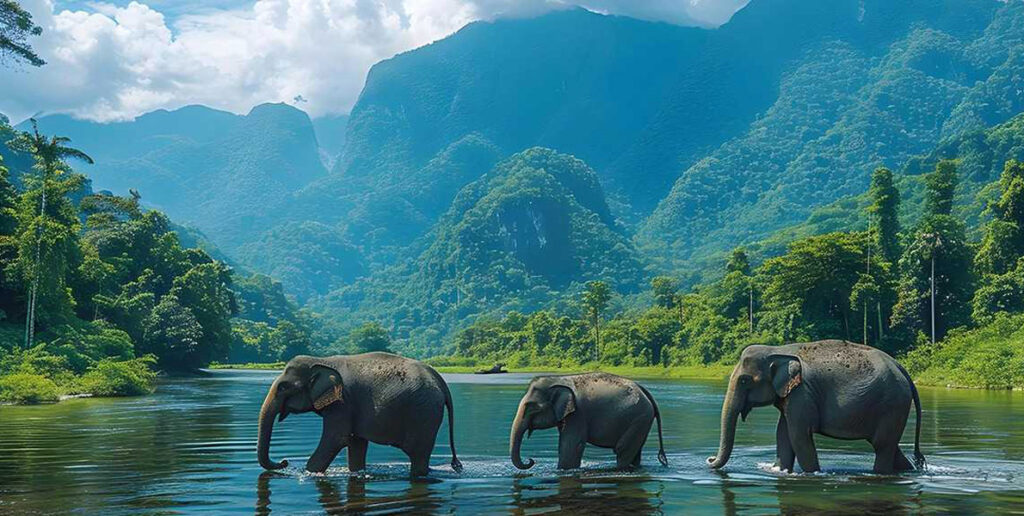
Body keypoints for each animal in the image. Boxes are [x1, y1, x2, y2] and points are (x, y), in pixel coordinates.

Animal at [256, 352, 462, 477]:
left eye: (283, 387)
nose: (284, 461)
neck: (323, 360)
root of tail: (440, 380)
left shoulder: (342, 404)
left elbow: (336, 439)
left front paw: (308, 473)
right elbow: (356, 442)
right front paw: (356, 473)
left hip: (424, 414)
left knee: (418, 454)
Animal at [510, 372, 668, 470]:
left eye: (531, 408)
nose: (530, 460)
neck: (558, 378)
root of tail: (644, 390)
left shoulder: (578, 415)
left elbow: (571, 446)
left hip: (639, 418)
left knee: (622, 450)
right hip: (641, 421)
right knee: (634, 452)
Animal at [707, 340, 925, 474]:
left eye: (744, 380)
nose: (709, 459)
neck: (778, 349)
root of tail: (902, 368)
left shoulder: (803, 394)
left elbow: (799, 436)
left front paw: (813, 473)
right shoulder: (792, 396)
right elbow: (782, 434)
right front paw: (779, 470)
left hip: (892, 404)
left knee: (883, 446)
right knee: (890, 446)